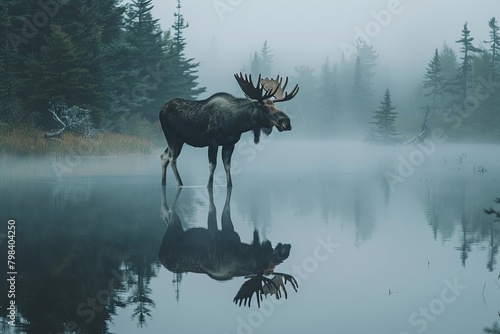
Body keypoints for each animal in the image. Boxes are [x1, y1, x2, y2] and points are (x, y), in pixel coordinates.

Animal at [158, 187, 296, 306]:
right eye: (277, 253)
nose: (288, 246)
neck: (243, 254)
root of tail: (160, 255)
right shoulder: (214, 233)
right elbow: (213, 208)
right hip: (173, 225)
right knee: (169, 210)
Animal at [159, 72, 296, 187]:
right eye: (265, 108)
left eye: (275, 106)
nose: (286, 122)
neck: (236, 123)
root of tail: (161, 110)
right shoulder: (212, 140)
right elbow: (212, 165)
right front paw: (209, 185)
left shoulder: (230, 143)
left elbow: (227, 165)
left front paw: (230, 185)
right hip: (170, 134)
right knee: (172, 158)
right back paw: (180, 183)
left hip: (180, 139)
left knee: (164, 156)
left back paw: (163, 183)